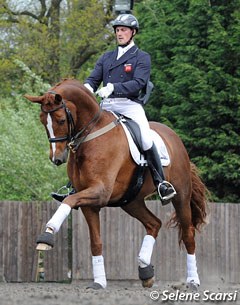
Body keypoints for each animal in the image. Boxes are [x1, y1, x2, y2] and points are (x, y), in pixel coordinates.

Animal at [24, 77, 208, 288]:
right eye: (42, 121)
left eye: (61, 120)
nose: (57, 158)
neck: (91, 135)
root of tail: (175, 137)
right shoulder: (89, 202)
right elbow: (95, 242)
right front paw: (99, 282)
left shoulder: (100, 192)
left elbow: (68, 201)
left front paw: (47, 235)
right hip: (131, 201)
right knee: (154, 224)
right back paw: (145, 270)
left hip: (181, 196)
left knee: (188, 235)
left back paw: (193, 280)